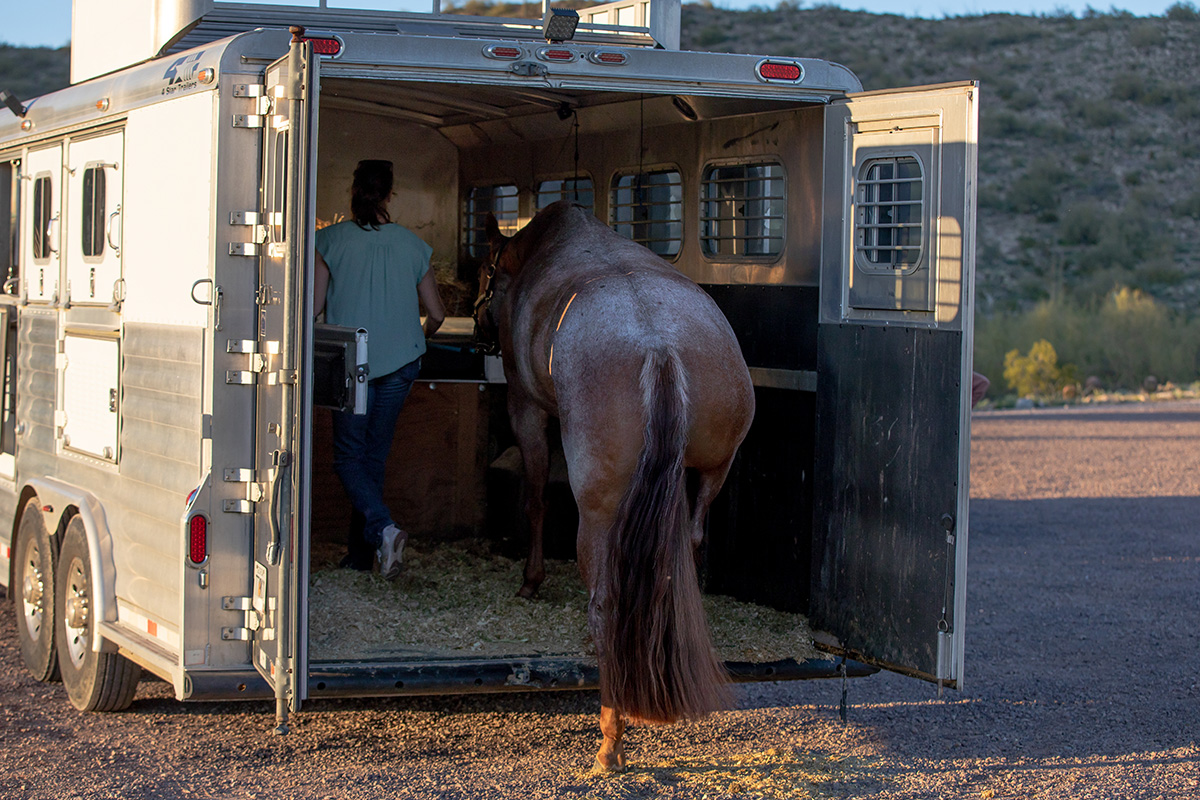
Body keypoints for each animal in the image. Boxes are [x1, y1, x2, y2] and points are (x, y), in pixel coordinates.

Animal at [472, 200, 753, 767]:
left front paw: (531, 579)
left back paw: (610, 737)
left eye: (485, 272)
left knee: (604, 604)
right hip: (713, 471)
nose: (474, 325)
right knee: (686, 551)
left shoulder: (525, 408)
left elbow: (535, 498)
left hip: (600, 511)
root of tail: (660, 346)